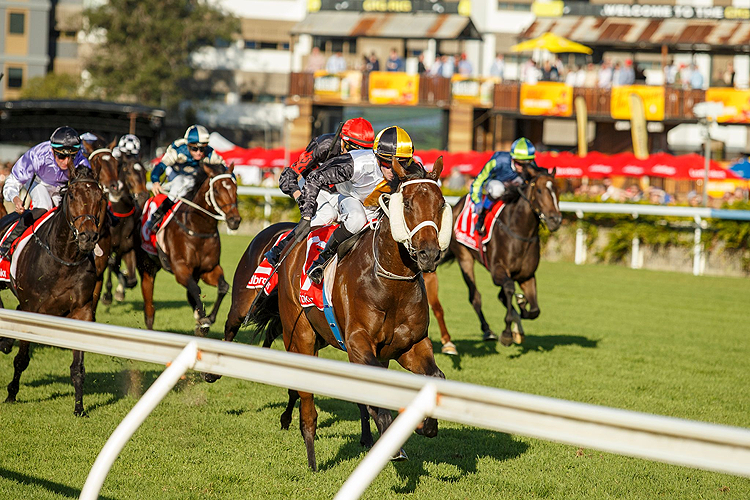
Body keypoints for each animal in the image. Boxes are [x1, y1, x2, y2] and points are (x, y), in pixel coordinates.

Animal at [0, 166, 110, 416]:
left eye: (100, 198)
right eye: (72, 196)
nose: (88, 237)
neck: (63, 258)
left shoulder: (82, 310)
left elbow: (78, 367)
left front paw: (79, 407)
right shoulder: (31, 309)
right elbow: (22, 359)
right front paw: (11, 393)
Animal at [103, 151, 150, 304]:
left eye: (145, 171)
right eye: (128, 171)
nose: (143, 196)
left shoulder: (128, 247)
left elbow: (132, 279)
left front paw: (121, 286)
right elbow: (111, 263)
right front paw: (108, 294)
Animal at [135, 164, 241, 334]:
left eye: (236, 189)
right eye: (217, 190)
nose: (235, 221)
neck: (198, 228)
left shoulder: (208, 269)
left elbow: (223, 287)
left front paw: (207, 319)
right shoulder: (180, 269)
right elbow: (196, 290)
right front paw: (203, 318)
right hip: (147, 268)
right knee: (149, 307)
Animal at [217, 158, 452, 470]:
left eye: (440, 203)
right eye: (408, 204)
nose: (429, 254)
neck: (390, 284)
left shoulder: (411, 345)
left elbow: (436, 378)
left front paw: (424, 424)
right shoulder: (358, 344)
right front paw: (391, 438)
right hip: (297, 331)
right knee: (303, 397)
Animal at [434, 164, 564, 348]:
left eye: (558, 190)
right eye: (539, 190)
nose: (555, 220)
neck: (520, 232)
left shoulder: (527, 276)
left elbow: (534, 310)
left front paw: (521, 309)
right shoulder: (497, 271)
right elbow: (509, 290)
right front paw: (508, 333)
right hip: (464, 257)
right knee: (475, 297)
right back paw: (488, 330)